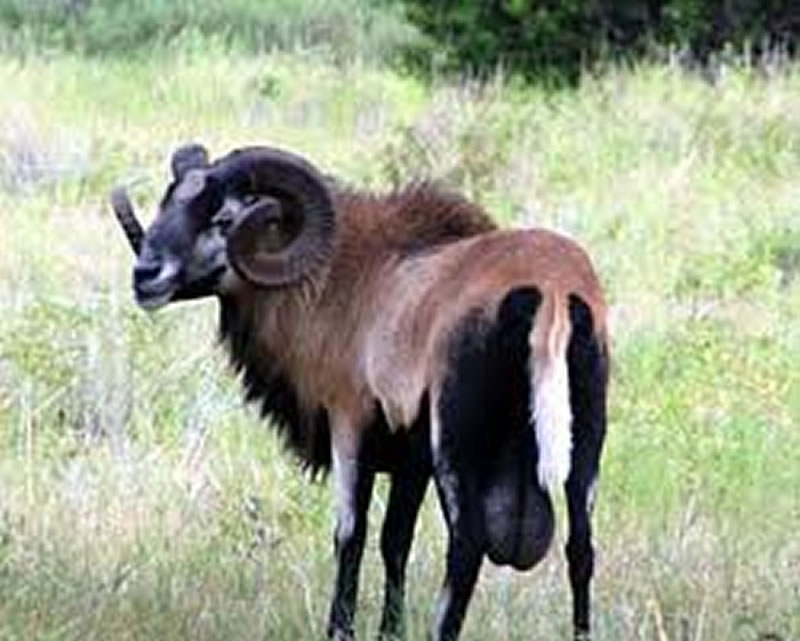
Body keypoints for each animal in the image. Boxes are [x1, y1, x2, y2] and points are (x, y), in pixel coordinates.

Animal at [111, 143, 609, 641]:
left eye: (225, 219)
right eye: (167, 203)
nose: (145, 275)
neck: (341, 281)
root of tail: (550, 291)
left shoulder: (349, 424)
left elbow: (351, 534)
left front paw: (340, 629)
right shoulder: (411, 463)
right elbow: (395, 541)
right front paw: (390, 631)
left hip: (457, 443)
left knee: (466, 546)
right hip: (584, 437)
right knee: (580, 547)